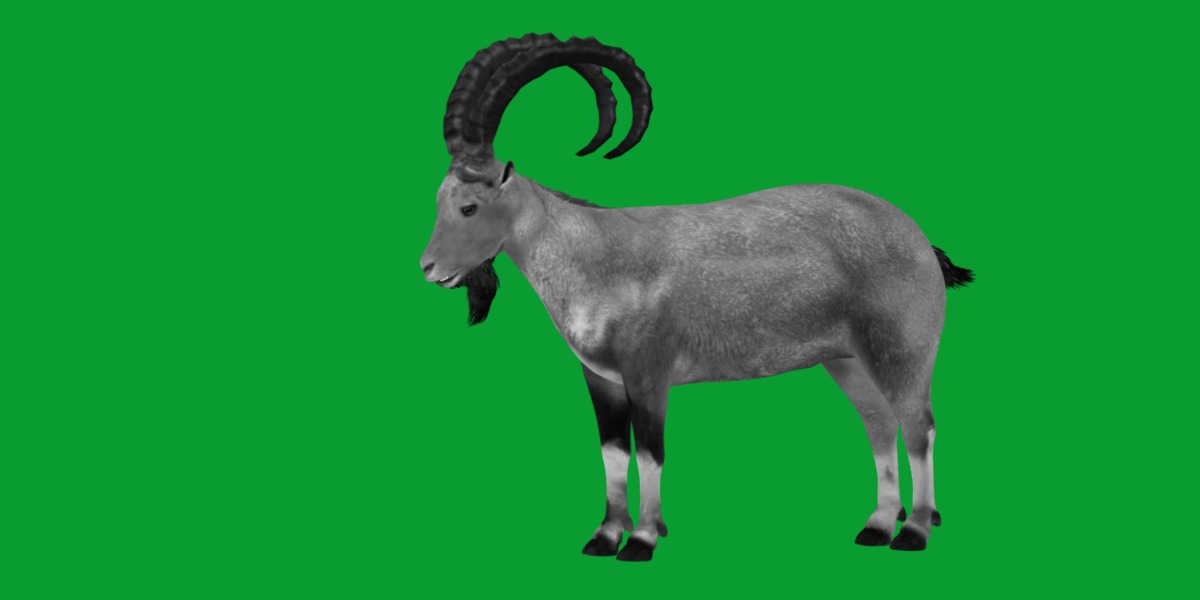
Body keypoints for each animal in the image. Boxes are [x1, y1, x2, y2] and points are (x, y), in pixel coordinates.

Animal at [419, 34, 974, 561]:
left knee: (919, 427)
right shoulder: (601, 379)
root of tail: (920, 240)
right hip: (846, 360)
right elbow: (613, 453)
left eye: (469, 206)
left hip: (902, 351)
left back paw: (915, 530)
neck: (597, 256)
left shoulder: (649, 373)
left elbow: (651, 453)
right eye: (440, 200)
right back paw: (877, 526)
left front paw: (642, 540)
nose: (429, 269)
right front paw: (605, 536)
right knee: (879, 424)